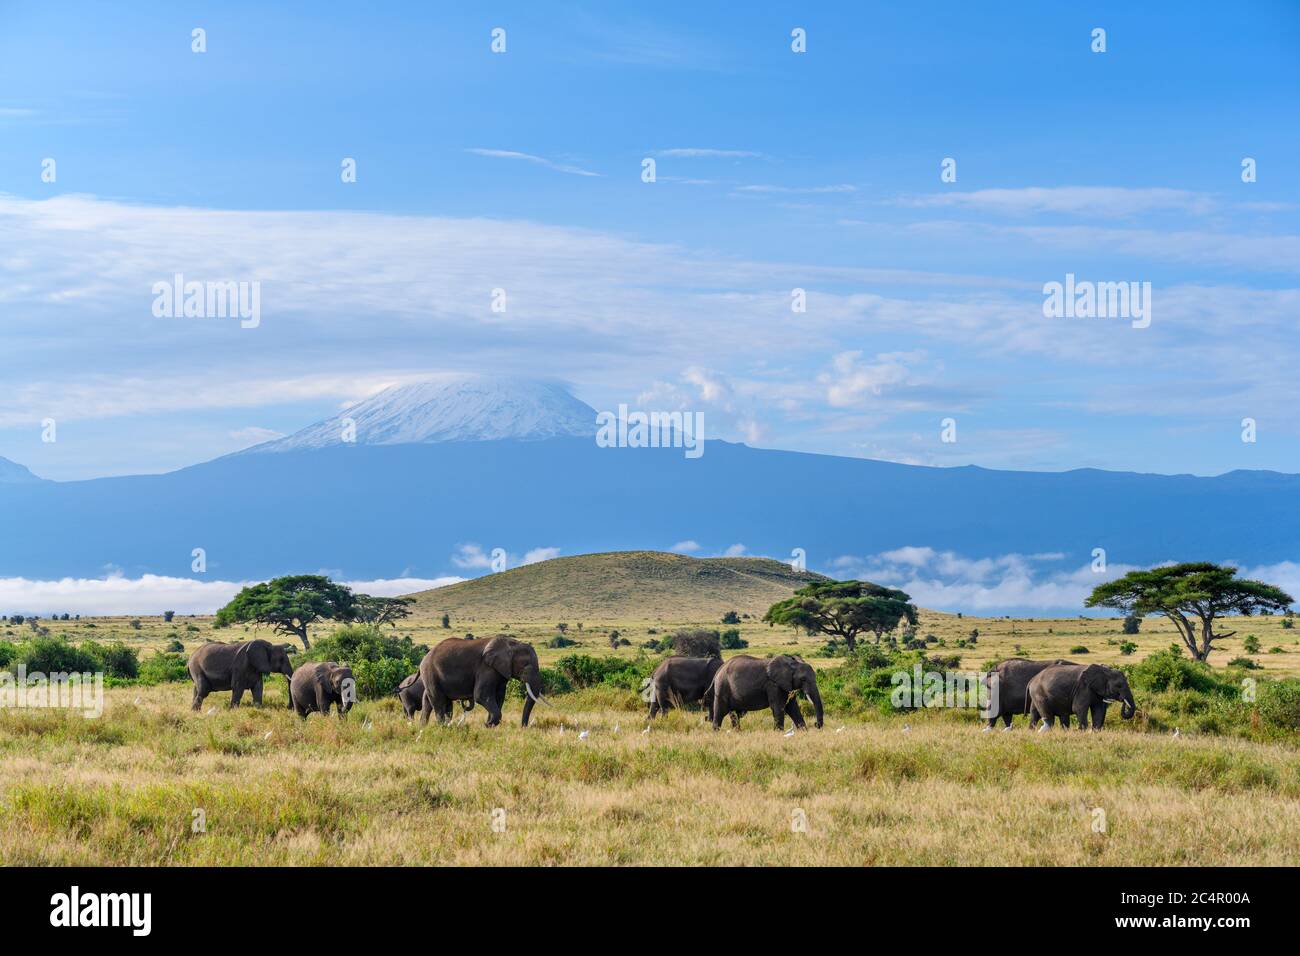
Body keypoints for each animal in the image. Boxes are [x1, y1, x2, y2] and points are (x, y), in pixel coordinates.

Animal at [418, 634, 546, 723]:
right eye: (526, 665)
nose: (523, 727)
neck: (512, 643)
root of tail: (424, 658)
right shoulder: (486, 668)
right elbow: (481, 695)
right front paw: (488, 724)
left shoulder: (500, 671)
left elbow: (499, 696)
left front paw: (490, 724)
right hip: (430, 673)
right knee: (439, 702)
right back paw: (442, 727)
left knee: (435, 702)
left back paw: (425, 727)